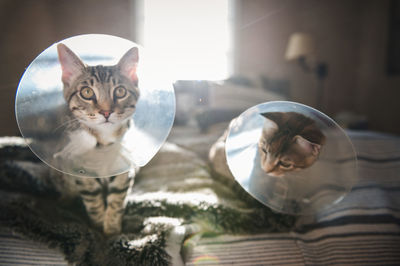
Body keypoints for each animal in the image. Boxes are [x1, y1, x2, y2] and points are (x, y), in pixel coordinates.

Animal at [51, 43, 140, 235]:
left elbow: (117, 198)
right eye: (87, 92)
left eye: (120, 91)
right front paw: (99, 227)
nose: (106, 112)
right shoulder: (81, 170)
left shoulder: (124, 166)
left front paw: (112, 230)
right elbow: (93, 200)